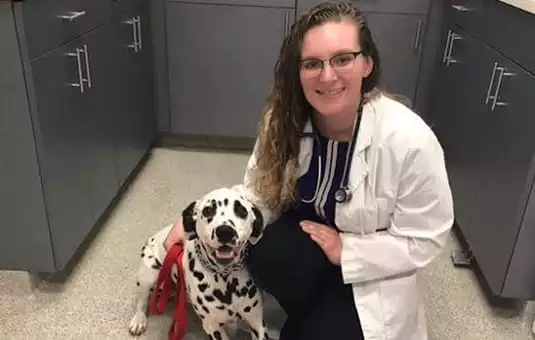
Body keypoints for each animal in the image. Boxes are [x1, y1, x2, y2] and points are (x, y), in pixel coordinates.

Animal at [128, 187, 270, 340]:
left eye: (242, 211)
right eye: (208, 210)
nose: (225, 232)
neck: (225, 279)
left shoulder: (257, 323)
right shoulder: (213, 327)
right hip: (148, 275)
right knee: (141, 301)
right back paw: (138, 320)